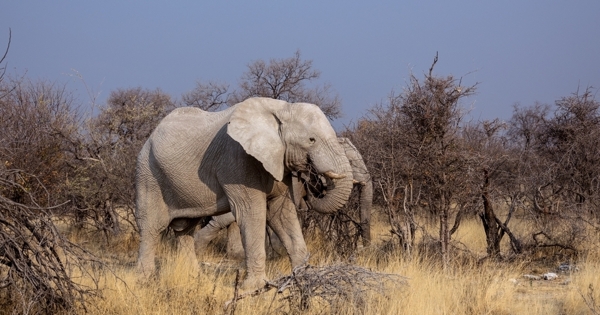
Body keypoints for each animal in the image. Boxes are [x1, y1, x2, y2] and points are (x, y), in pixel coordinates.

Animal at [134, 97, 354, 292]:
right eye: (311, 140)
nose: (312, 186)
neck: (282, 108)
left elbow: (281, 214)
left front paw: (304, 278)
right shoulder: (237, 160)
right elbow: (252, 213)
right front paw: (255, 287)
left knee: (185, 229)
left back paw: (194, 278)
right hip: (148, 174)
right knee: (152, 226)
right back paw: (144, 280)